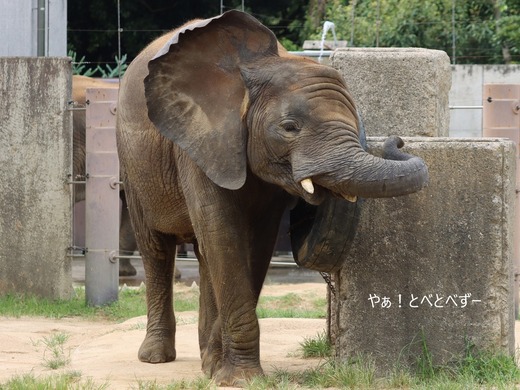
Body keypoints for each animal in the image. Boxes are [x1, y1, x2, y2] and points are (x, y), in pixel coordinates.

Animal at [116, 9, 428, 386]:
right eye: (289, 127)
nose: (397, 140)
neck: (260, 66)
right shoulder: (200, 141)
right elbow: (222, 233)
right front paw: (240, 380)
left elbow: (255, 243)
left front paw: (219, 368)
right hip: (133, 166)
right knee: (157, 249)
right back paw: (156, 357)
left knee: (204, 256)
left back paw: (206, 359)